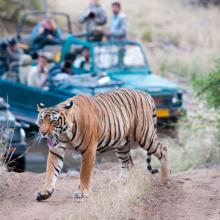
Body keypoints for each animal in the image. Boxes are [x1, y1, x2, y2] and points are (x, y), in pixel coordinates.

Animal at [35, 89, 170, 201]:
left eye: (53, 121)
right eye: (41, 120)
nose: (43, 133)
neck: (65, 134)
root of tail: (145, 93)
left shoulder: (89, 150)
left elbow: (84, 172)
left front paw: (82, 192)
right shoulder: (56, 150)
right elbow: (51, 171)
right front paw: (44, 192)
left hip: (144, 135)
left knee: (163, 149)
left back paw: (165, 178)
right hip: (122, 144)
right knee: (126, 163)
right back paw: (120, 182)